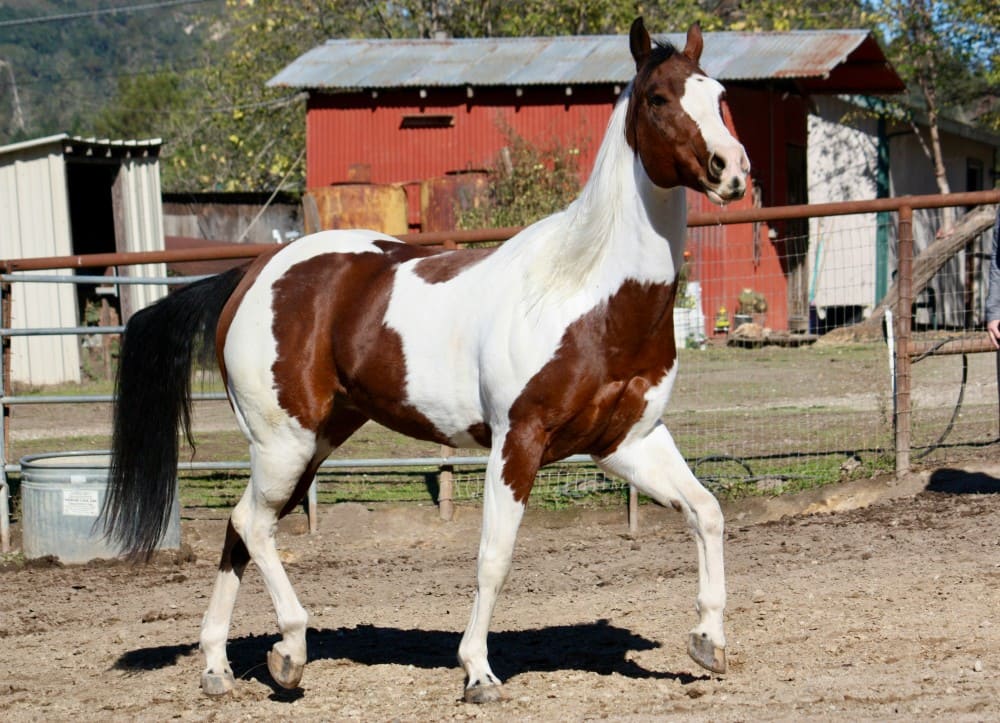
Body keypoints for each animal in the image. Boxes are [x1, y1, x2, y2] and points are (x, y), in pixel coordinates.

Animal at [100, 17, 748, 703]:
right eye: (658, 98)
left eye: (718, 94)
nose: (731, 170)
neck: (588, 293)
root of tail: (250, 275)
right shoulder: (518, 441)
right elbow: (494, 557)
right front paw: (479, 673)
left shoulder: (629, 440)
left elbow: (706, 511)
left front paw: (708, 642)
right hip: (283, 444)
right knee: (252, 525)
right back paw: (291, 651)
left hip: (314, 441)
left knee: (241, 526)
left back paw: (219, 668)